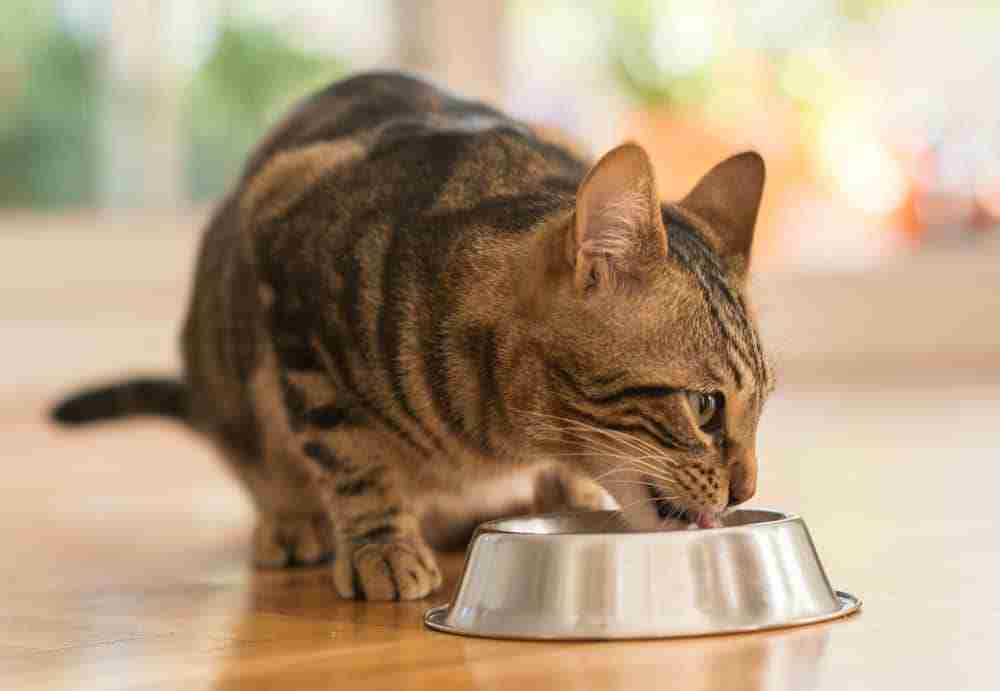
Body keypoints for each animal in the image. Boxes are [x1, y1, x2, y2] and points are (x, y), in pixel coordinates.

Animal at [52, 70, 772, 600]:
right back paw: (294, 519)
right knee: (264, 459)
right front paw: (381, 545)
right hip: (226, 362)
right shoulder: (288, 268)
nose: (747, 490)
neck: (499, 434)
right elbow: (348, 453)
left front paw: (567, 489)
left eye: (761, 405)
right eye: (705, 406)